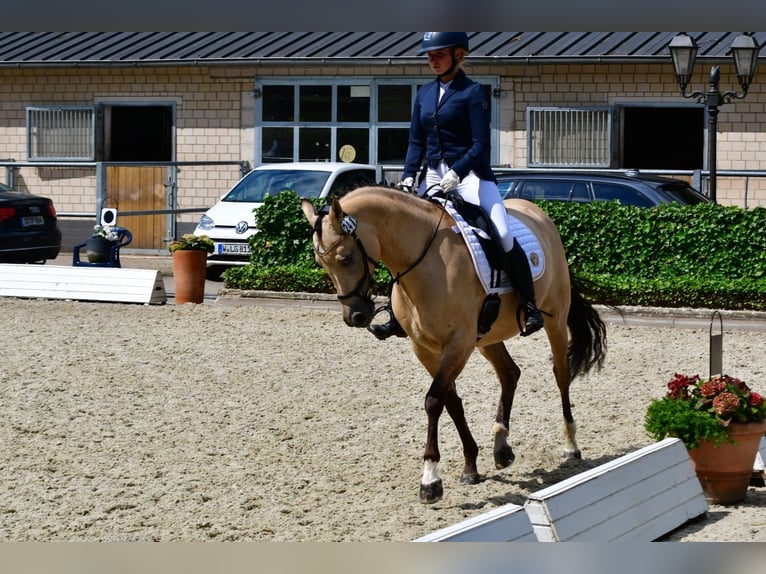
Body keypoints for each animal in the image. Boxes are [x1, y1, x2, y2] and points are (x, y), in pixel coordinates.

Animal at [300, 187, 608, 506]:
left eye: (346, 258)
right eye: (321, 263)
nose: (356, 317)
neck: (424, 261)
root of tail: (537, 212)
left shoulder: (458, 343)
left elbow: (434, 401)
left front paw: (430, 480)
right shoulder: (425, 348)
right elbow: (452, 402)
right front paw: (470, 466)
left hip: (555, 319)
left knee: (561, 374)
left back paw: (571, 445)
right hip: (488, 336)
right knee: (509, 373)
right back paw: (501, 447)